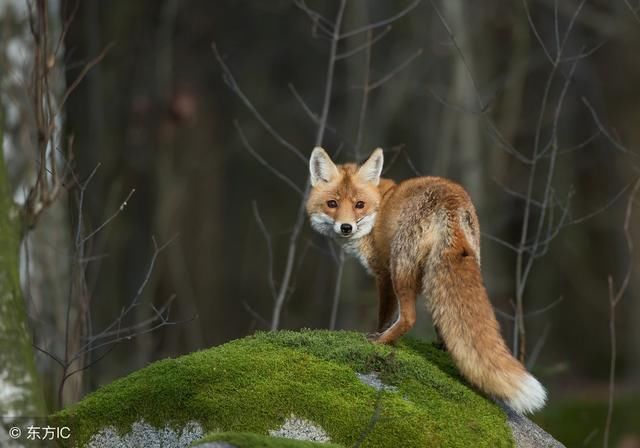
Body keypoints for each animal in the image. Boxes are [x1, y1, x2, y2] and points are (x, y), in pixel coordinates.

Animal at [308, 146, 548, 412]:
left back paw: (381, 341)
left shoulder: (383, 273)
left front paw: (377, 333)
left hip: (401, 268)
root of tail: (452, 199)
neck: (380, 206)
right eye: (332, 204)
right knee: (446, 319)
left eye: (359, 205)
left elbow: (384, 315)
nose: (346, 227)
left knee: (409, 318)